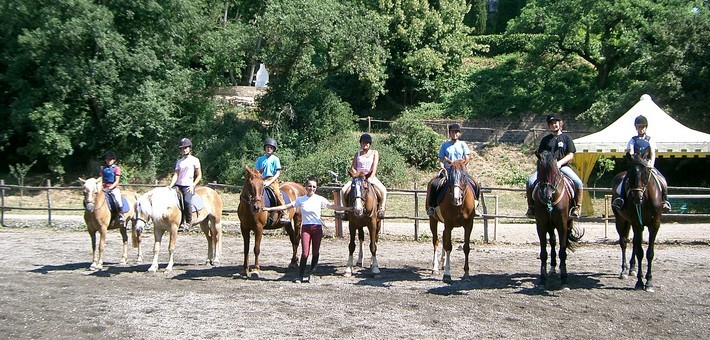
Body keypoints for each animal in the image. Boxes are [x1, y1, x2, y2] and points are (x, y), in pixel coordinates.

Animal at [536, 151, 584, 290]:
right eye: (539, 170)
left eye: (555, 173)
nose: (546, 196)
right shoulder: (541, 225)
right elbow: (543, 253)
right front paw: (543, 279)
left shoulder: (562, 225)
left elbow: (562, 251)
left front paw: (564, 280)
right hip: (550, 225)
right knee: (552, 241)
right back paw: (552, 268)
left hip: (567, 222)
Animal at [612, 154, 668, 290]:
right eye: (630, 172)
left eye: (646, 171)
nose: (637, 197)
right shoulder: (638, 223)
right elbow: (640, 252)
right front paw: (639, 282)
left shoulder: (654, 225)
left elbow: (649, 253)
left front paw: (648, 282)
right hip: (620, 219)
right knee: (624, 242)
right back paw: (624, 270)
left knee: (634, 243)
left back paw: (632, 269)